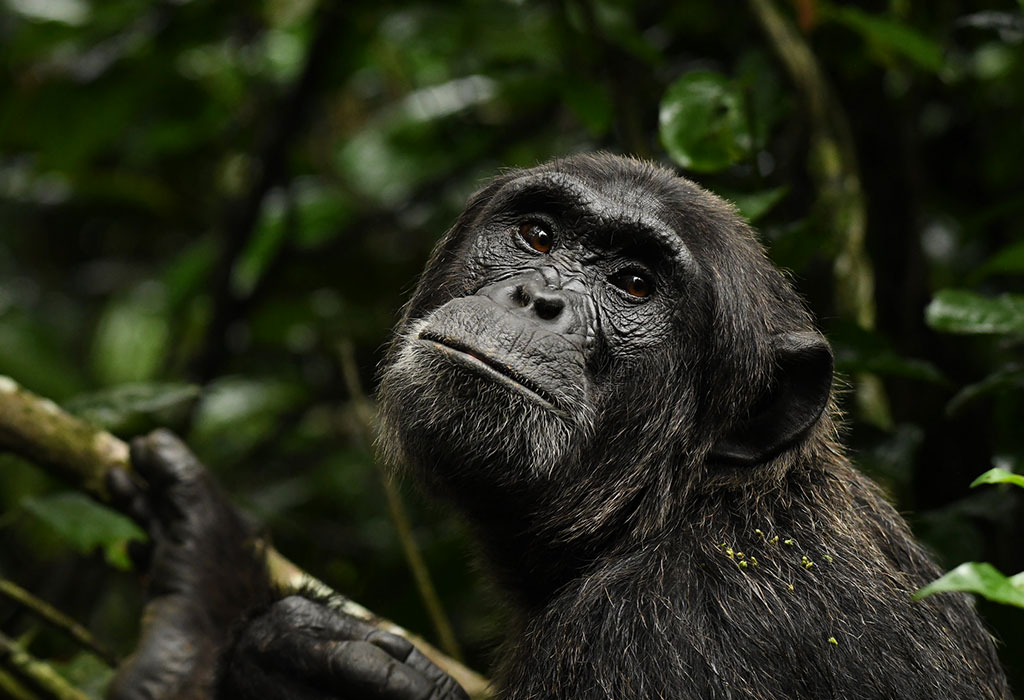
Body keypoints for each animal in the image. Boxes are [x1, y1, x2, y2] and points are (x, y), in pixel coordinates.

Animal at [107, 154, 1011, 700]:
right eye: (538, 235)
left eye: (636, 284)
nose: (539, 298)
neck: (678, 504)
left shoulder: (664, 640)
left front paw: (210, 590)